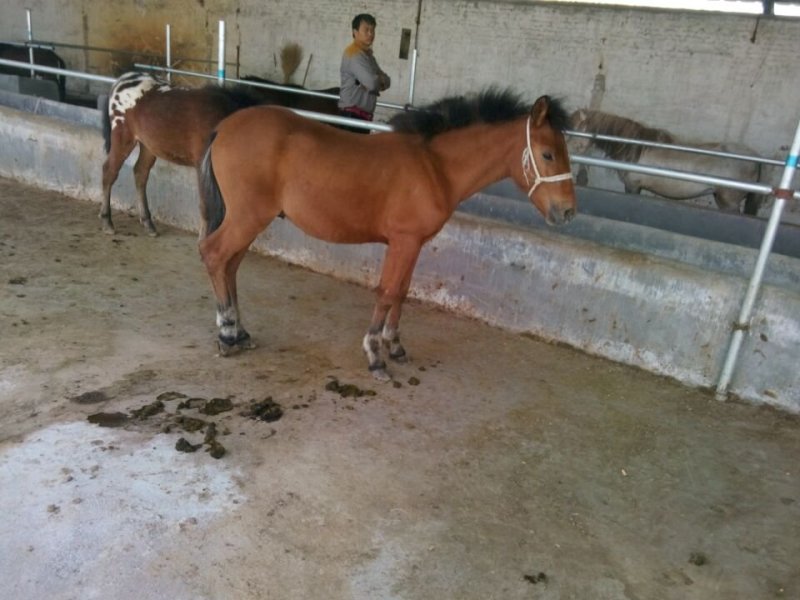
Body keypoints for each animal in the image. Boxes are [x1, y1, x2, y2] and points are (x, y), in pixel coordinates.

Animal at [197, 89, 576, 380]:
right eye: (547, 154)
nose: (568, 212)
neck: (434, 166)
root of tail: (223, 127)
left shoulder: (413, 243)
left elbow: (402, 293)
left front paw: (395, 347)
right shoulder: (403, 241)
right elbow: (387, 292)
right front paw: (375, 356)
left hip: (249, 221)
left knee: (230, 265)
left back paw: (241, 332)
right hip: (248, 217)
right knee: (214, 254)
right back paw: (227, 333)